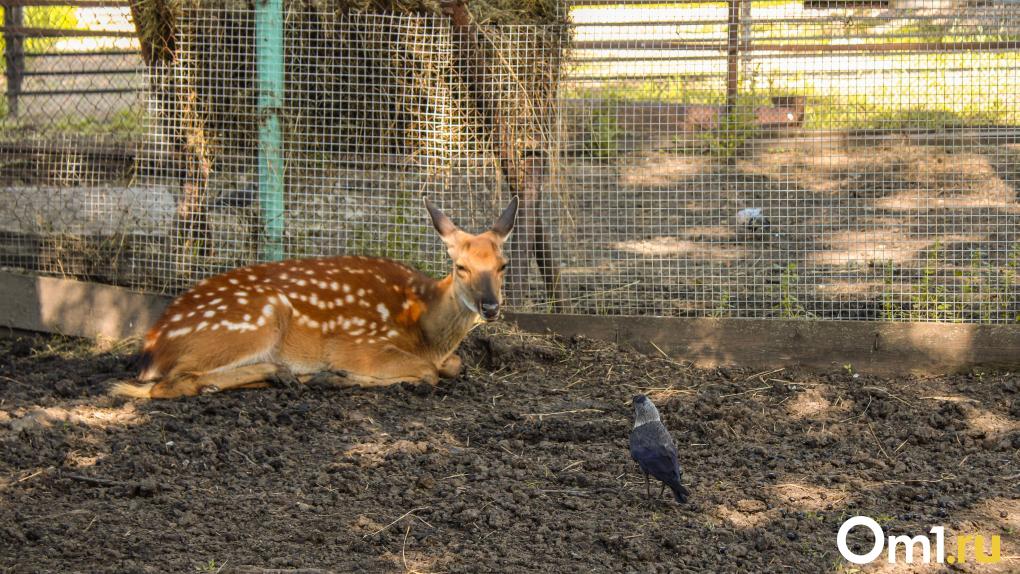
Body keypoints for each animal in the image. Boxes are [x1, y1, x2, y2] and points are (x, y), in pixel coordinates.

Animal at [111, 197, 518, 399]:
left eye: (503, 265)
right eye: (460, 266)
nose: (491, 307)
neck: (424, 326)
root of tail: (152, 346)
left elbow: (454, 364)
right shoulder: (359, 343)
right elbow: (428, 373)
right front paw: (335, 377)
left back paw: (281, 377)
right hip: (259, 316)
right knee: (166, 385)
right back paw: (293, 375)